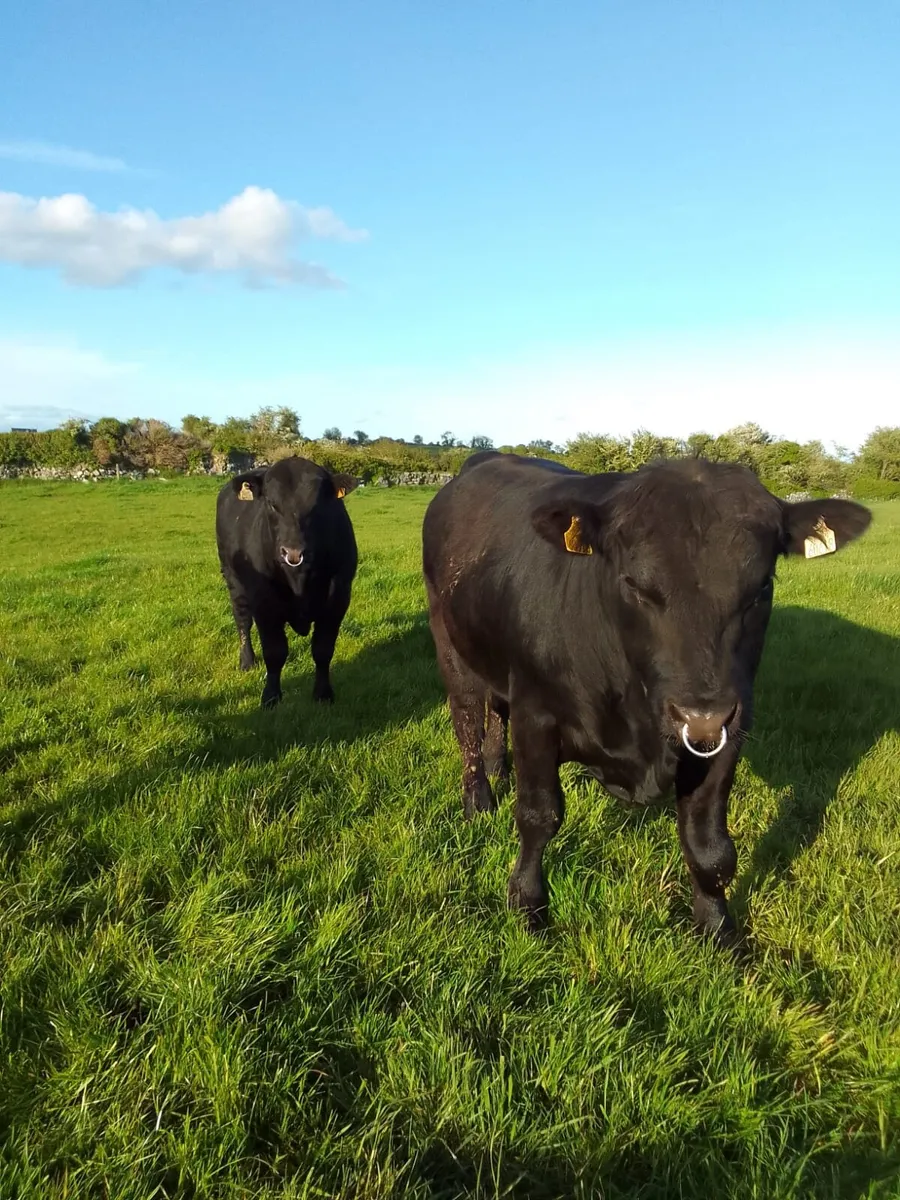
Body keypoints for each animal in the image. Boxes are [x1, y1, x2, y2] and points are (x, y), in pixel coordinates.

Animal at [216, 456, 360, 708]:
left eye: (317, 505)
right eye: (272, 503)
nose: (293, 552)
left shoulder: (338, 598)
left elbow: (323, 649)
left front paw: (323, 693)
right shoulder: (263, 602)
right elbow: (274, 652)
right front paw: (271, 696)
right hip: (232, 578)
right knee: (242, 620)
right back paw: (247, 661)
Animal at [422, 451, 872, 947]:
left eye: (761, 588)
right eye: (634, 584)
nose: (701, 715)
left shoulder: (730, 731)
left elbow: (710, 847)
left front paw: (718, 930)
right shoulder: (535, 715)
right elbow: (538, 815)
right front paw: (527, 906)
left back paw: (499, 767)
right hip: (450, 644)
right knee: (468, 719)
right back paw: (478, 799)